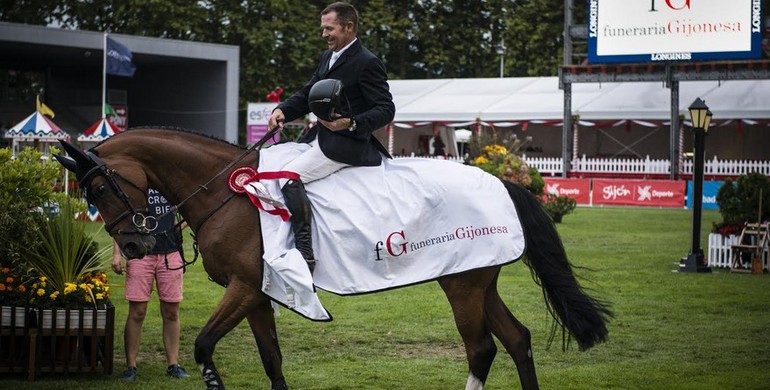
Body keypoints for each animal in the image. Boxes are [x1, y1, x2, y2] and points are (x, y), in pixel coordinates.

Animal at [55, 129, 612, 390]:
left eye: (99, 188)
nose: (132, 248)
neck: (229, 193)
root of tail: (501, 182)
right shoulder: (259, 293)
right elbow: (271, 359)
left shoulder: (244, 287)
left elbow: (202, 345)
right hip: (476, 280)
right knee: (517, 340)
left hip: (462, 286)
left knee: (482, 349)